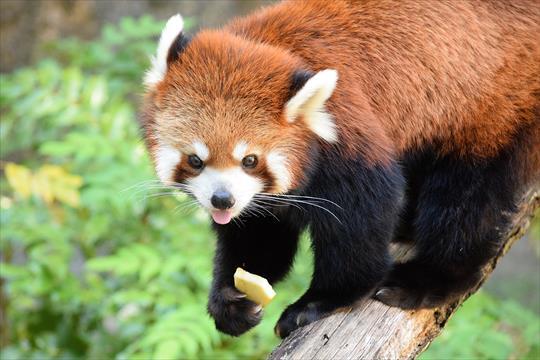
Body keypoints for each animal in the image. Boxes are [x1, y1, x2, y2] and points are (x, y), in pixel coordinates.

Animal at [140, 0, 540, 338]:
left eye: (249, 160)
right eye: (195, 160)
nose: (222, 200)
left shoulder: (347, 134)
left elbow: (361, 222)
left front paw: (319, 302)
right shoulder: (258, 199)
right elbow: (258, 234)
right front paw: (230, 301)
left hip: (492, 107)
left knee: (468, 199)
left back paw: (425, 279)